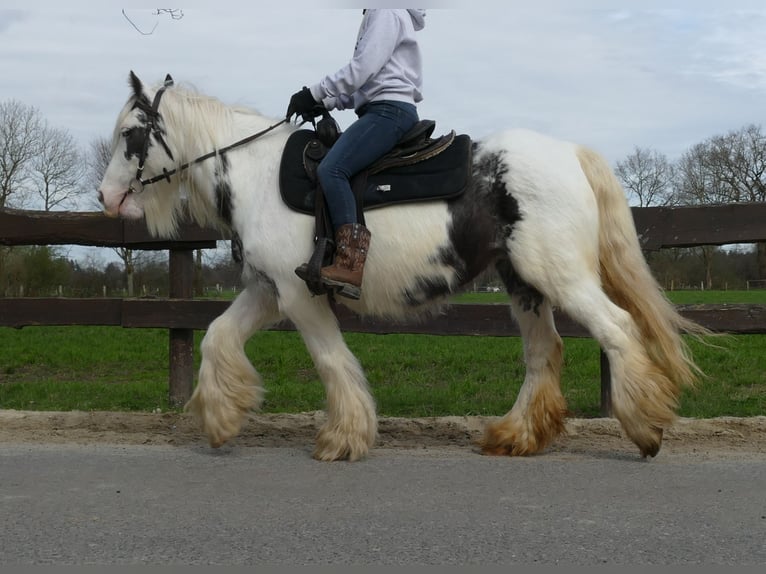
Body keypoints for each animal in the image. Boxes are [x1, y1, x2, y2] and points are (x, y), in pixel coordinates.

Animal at [99, 72, 704, 462]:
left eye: (131, 134)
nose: (106, 198)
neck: (257, 173)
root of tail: (570, 153)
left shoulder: (299, 295)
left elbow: (331, 361)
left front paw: (343, 438)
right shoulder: (268, 292)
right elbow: (217, 337)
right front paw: (221, 419)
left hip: (560, 277)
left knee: (618, 329)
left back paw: (645, 428)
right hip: (524, 284)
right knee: (544, 352)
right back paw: (517, 436)